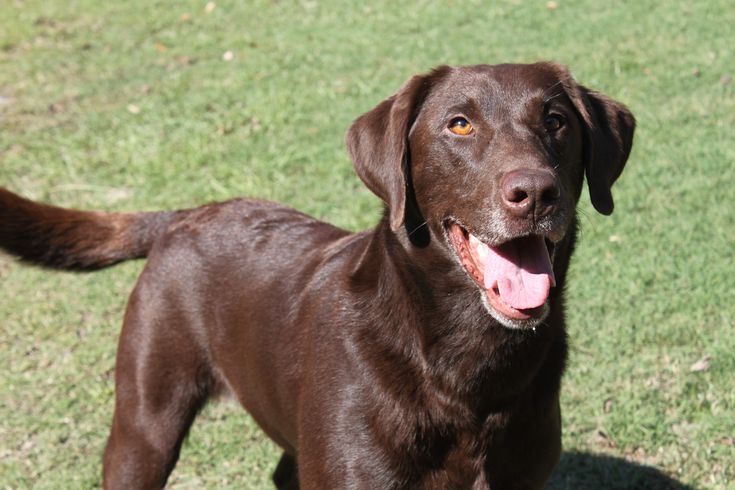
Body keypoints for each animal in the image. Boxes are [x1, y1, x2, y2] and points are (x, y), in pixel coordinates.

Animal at [0, 63, 632, 488]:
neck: (463, 361)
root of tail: (186, 214)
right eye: (459, 125)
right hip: (145, 424)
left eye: (556, 121)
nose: (536, 193)